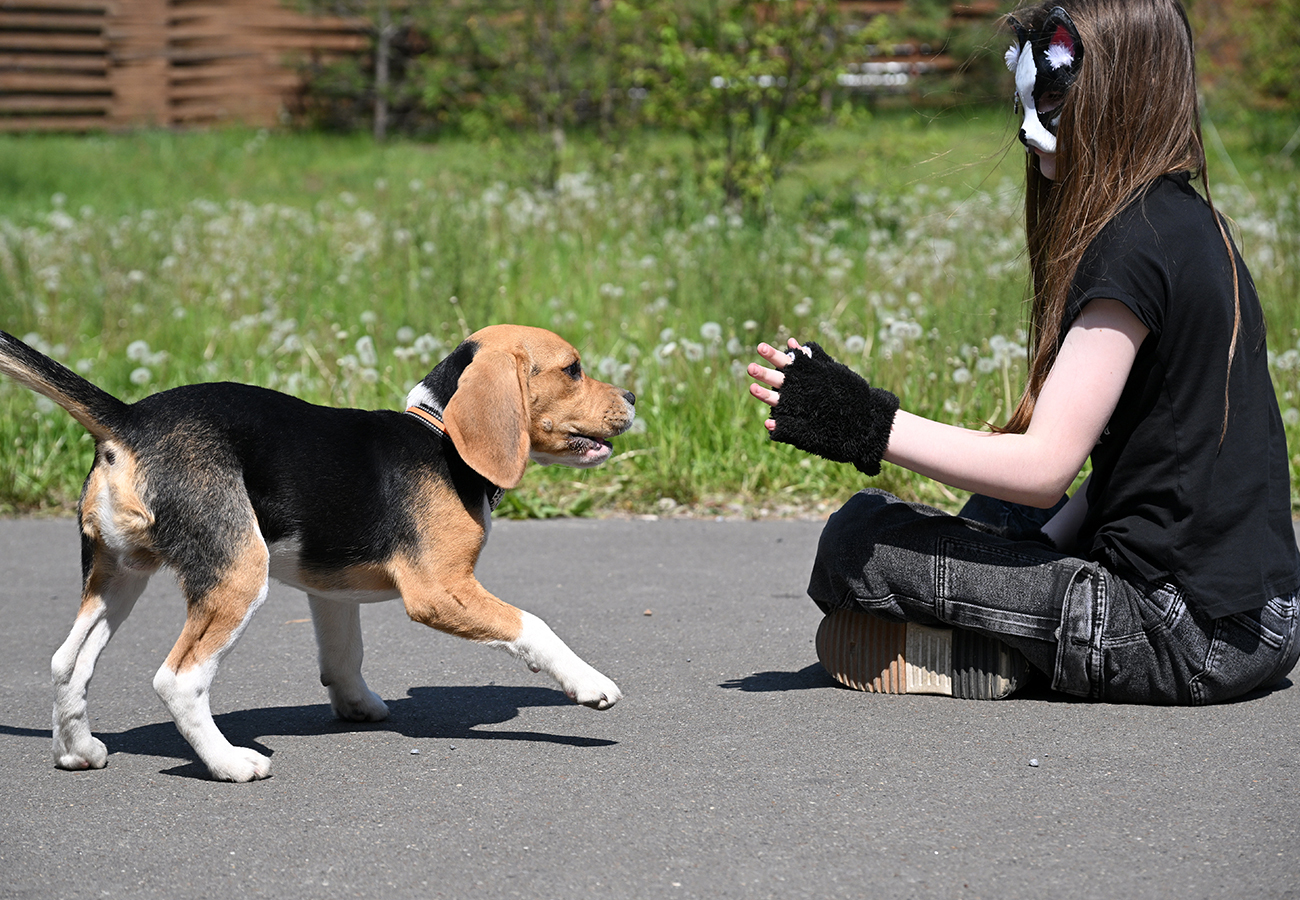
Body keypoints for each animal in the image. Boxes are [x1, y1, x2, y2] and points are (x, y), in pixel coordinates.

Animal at [0, 323, 634, 780]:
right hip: (238, 573)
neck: (440, 438)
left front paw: (357, 706)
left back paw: (77, 750)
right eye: (573, 369)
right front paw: (589, 683)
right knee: (178, 679)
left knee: (68, 662)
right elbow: (533, 625)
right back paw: (230, 763)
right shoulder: (441, 591)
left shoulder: (331, 589)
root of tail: (130, 418)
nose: (632, 395)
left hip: (118, 574)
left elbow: (344, 655)